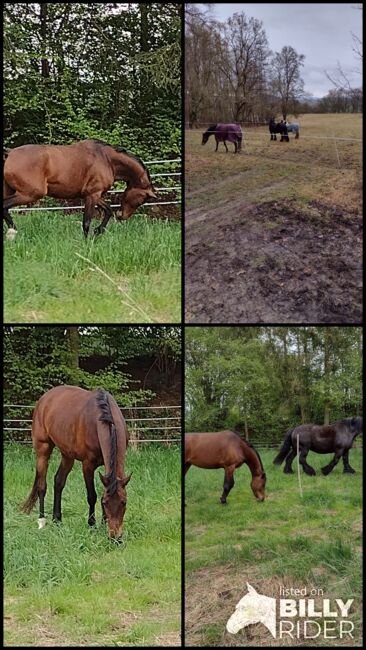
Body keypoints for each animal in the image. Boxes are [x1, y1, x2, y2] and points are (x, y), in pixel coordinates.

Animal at [3, 139, 157, 238]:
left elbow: (108, 210)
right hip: (30, 194)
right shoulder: (92, 195)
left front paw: (98, 231)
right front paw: (87, 241)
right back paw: (13, 232)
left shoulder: (93, 194)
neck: (107, 160)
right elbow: (87, 222)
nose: (122, 216)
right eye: (141, 200)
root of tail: (10, 153)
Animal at [21, 382, 132, 540]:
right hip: (43, 450)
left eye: (124, 502)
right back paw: (42, 521)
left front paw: (103, 524)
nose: (115, 537)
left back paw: (57, 519)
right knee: (42, 486)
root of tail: (44, 398)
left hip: (67, 456)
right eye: (106, 503)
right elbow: (92, 496)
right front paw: (92, 524)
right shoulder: (87, 465)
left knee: (59, 481)